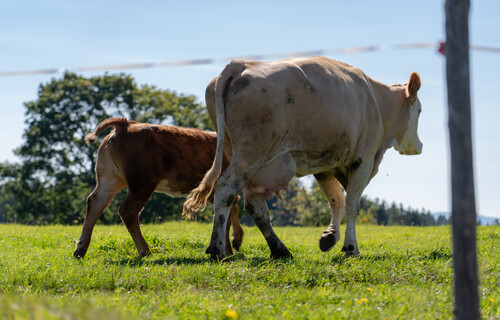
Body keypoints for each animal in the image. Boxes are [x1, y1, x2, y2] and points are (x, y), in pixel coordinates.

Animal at [74, 119, 244, 258]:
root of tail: (126, 124)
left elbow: (232, 209)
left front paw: (235, 241)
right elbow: (227, 214)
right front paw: (228, 249)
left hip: (110, 177)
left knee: (95, 202)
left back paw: (80, 249)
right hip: (143, 181)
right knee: (127, 210)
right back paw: (145, 250)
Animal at [184, 55, 422, 260]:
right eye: (419, 110)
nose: (419, 146)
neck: (376, 100)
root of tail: (240, 64)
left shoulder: (325, 164)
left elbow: (336, 200)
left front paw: (329, 237)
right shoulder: (363, 159)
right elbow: (352, 204)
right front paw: (350, 247)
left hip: (243, 156)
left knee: (255, 205)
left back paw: (279, 250)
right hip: (251, 153)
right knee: (226, 188)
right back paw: (217, 248)